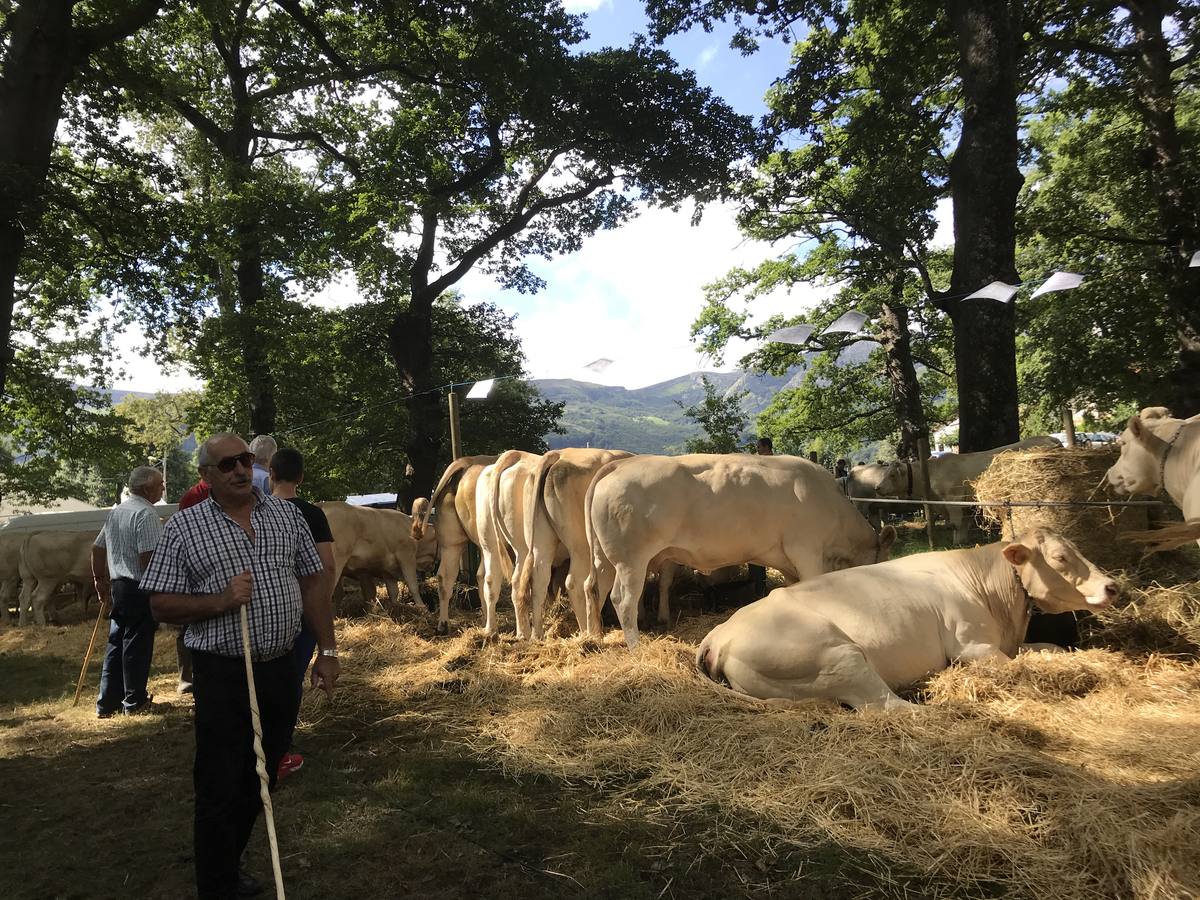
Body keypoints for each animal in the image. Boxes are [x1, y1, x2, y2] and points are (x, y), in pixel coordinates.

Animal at [511, 448, 633, 638]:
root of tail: (559, 455)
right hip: (581, 545)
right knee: (578, 582)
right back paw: (588, 631)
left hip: (541, 540)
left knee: (539, 579)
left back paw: (537, 635)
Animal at [585, 453, 897, 652]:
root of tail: (621, 464)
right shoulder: (806, 550)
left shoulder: (788, 561)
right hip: (630, 559)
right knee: (623, 599)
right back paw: (635, 647)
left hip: (604, 558)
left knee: (593, 587)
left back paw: (594, 637)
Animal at [700, 528, 1118, 710]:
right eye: (1061, 557)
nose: (1113, 586)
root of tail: (718, 636)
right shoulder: (973, 646)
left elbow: (1050, 648)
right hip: (839, 658)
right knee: (891, 707)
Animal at [873, 436, 1060, 542]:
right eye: (885, 473)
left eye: (892, 475)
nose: (877, 487)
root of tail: (1048, 438)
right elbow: (962, 523)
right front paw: (961, 541)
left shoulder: (953, 499)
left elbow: (956, 524)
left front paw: (957, 543)